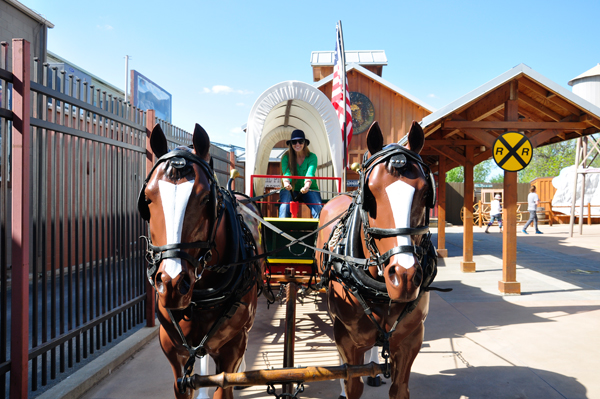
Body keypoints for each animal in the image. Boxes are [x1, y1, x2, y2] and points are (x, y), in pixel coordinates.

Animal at [141, 123, 264, 398]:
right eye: (148, 198)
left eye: (207, 198)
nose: (172, 284)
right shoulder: (173, 352)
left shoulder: (231, 349)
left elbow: (224, 383)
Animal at [316, 122, 438, 399]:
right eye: (369, 194)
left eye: (426, 192)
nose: (404, 277)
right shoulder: (347, 338)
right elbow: (352, 384)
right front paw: (345, 387)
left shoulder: (412, 338)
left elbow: (400, 389)